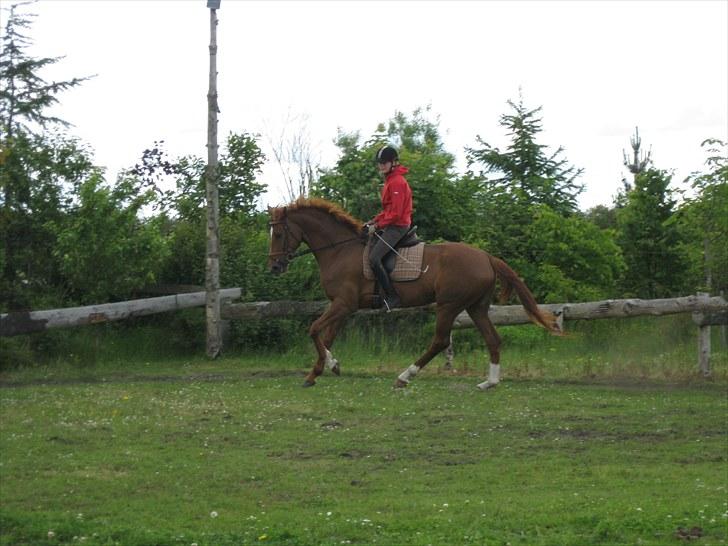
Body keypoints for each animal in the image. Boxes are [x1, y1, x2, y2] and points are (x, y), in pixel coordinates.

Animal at [268, 198, 564, 388]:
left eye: (279, 234)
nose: (274, 267)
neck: (340, 250)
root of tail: (487, 257)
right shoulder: (343, 307)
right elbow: (326, 337)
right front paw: (323, 369)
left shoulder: (343, 304)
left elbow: (313, 330)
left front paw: (323, 368)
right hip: (475, 307)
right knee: (493, 338)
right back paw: (489, 382)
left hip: (448, 305)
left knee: (440, 341)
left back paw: (405, 376)